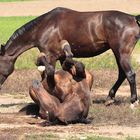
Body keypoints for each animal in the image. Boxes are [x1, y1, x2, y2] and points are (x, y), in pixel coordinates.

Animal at [0, 7, 140, 105]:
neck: (44, 27)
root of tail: (133, 18)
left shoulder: (50, 57)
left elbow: (47, 76)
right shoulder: (62, 57)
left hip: (122, 53)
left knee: (130, 74)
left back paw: (133, 101)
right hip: (117, 53)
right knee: (122, 74)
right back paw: (110, 98)